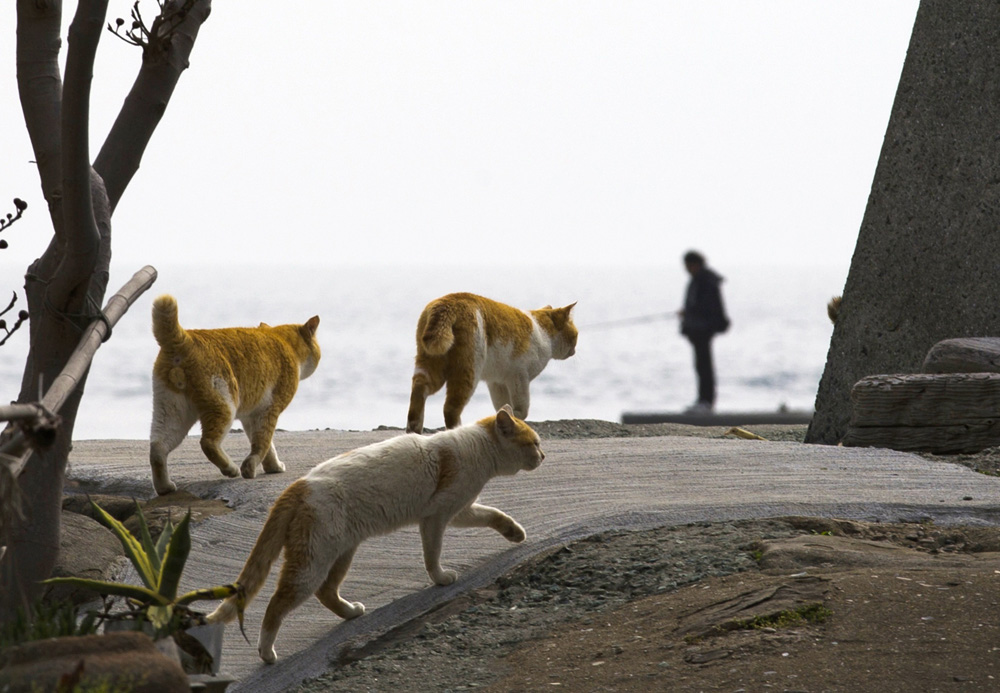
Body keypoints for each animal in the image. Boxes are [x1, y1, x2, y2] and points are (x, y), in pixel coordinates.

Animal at [147, 294, 320, 494]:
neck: (284, 343)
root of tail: (184, 338)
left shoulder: (251, 415)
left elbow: (266, 445)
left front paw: (272, 467)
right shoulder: (270, 409)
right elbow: (262, 442)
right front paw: (250, 468)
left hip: (171, 411)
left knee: (158, 448)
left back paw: (165, 487)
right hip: (224, 406)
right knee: (208, 443)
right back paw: (230, 468)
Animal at [406, 292, 580, 432]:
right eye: (576, 335)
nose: (575, 351)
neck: (542, 331)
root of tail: (448, 302)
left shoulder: (497, 382)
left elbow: (501, 405)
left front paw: (505, 417)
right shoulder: (519, 377)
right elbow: (522, 408)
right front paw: (514, 415)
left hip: (430, 363)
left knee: (419, 391)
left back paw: (414, 431)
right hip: (468, 370)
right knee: (450, 408)